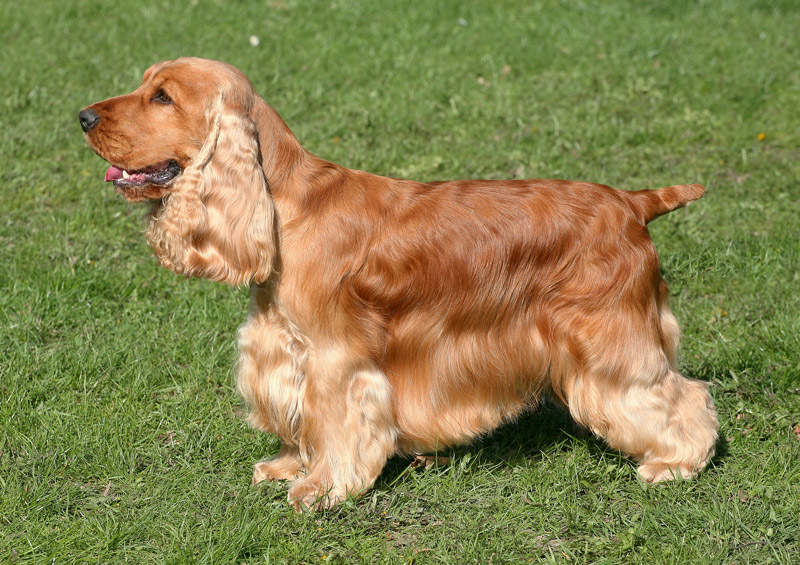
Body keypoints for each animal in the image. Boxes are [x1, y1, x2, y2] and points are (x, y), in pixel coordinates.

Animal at [79, 58, 720, 512]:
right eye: (144, 84)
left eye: (162, 96)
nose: (83, 117)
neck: (284, 206)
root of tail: (632, 203)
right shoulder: (283, 347)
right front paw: (287, 465)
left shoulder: (337, 359)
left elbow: (337, 423)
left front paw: (321, 489)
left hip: (611, 338)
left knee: (680, 396)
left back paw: (676, 464)